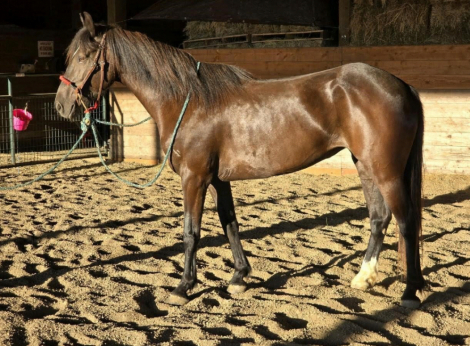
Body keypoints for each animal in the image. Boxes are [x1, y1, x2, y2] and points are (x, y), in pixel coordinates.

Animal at [55, 12, 426, 306]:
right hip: (366, 166)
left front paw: (183, 287)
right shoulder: (219, 180)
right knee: (379, 218)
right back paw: (364, 278)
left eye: (85, 55)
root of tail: (402, 86)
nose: (61, 105)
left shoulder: (194, 178)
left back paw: (410, 293)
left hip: (387, 171)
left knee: (406, 221)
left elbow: (191, 232)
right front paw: (239, 278)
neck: (189, 101)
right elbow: (230, 223)